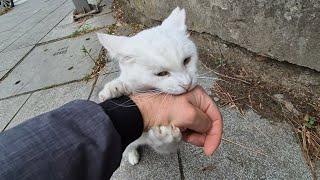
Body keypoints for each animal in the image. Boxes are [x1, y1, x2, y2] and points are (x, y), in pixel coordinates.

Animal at [97, 6, 198, 165]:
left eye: (187, 61)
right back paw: (132, 155)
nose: (187, 84)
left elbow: (165, 144)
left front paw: (166, 136)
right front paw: (115, 88)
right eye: (161, 74)